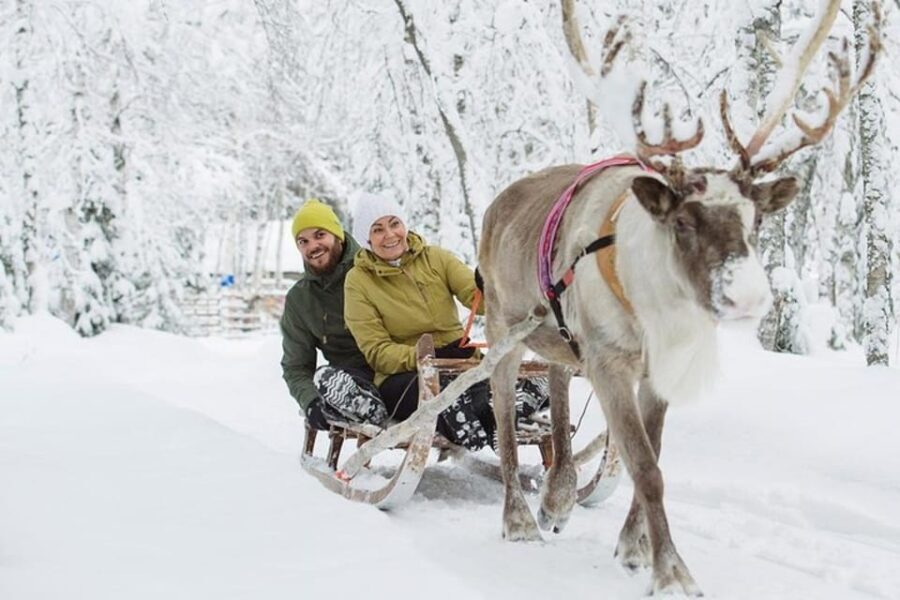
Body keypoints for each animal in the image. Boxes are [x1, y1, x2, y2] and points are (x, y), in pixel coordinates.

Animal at [478, 2, 881, 595]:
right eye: (685, 221)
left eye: (756, 220)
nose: (748, 297)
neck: (654, 313)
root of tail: (498, 204)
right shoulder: (610, 361)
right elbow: (646, 467)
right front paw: (672, 571)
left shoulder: (660, 366)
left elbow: (651, 452)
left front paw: (633, 548)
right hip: (502, 328)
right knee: (504, 413)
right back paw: (520, 518)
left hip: (560, 336)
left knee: (557, 381)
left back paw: (559, 495)